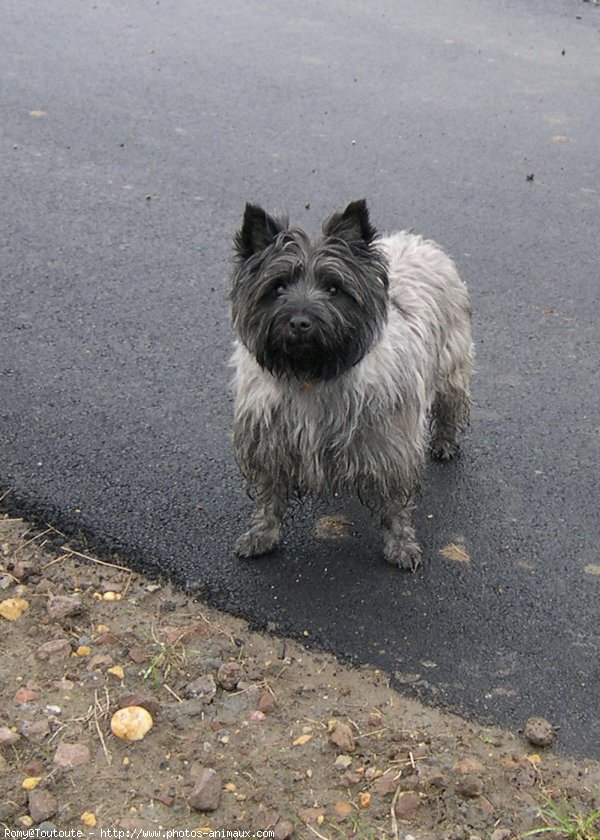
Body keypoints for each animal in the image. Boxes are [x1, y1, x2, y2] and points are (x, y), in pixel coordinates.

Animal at [230, 200, 474, 572]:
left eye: (334, 288)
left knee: (449, 406)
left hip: (451, 365)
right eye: (278, 287)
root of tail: (419, 242)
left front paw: (401, 544)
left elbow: (394, 504)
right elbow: (270, 497)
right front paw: (262, 535)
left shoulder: (390, 446)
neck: (311, 375)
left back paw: (445, 443)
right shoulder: (271, 444)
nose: (300, 322)